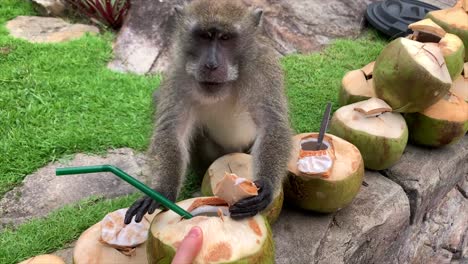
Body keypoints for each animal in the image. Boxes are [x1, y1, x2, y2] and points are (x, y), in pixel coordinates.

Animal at [124, 0, 292, 224]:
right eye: (204, 36)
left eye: (225, 38)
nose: (211, 64)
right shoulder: (178, 74)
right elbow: (172, 131)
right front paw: (160, 193)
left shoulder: (263, 69)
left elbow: (272, 124)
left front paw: (265, 186)